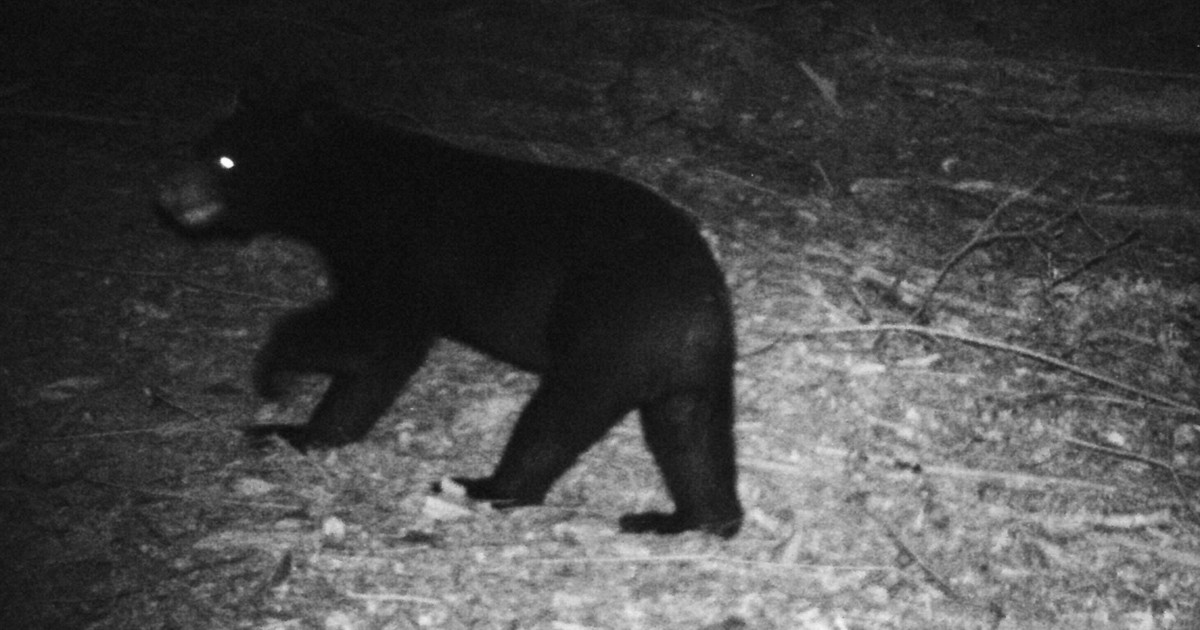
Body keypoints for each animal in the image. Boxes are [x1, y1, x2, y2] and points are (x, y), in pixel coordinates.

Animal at [155, 85, 742, 538]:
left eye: (225, 160)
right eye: (200, 147)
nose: (166, 192)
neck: (349, 185)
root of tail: (699, 304)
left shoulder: (399, 253)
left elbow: (371, 332)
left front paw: (275, 372)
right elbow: (379, 364)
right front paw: (299, 430)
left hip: (605, 334)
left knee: (555, 417)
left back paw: (484, 486)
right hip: (691, 373)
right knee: (693, 439)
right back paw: (685, 518)